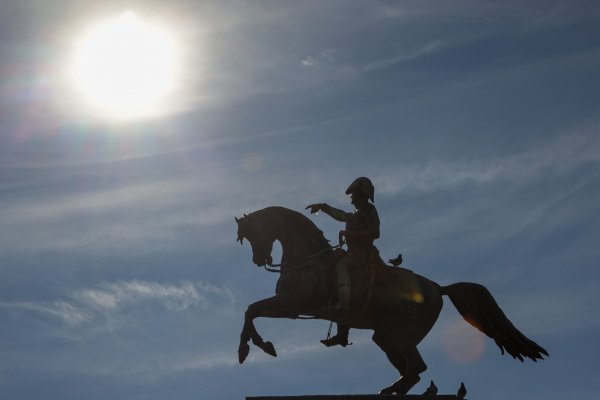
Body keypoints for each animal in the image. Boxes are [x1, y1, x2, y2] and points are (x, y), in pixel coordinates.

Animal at [236, 206, 548, 394]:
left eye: (254, 233)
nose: (258, 260)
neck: (309, 259)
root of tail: (438, 288)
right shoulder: (289, 307)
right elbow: (251, 311)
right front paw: (255, 346)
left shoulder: (291, 304)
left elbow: (251, 310)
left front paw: (254, 348)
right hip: (386, 336)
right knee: (411, 371)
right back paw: (395, 388)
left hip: (403, 335)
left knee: (416, 367)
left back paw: (392, 390)